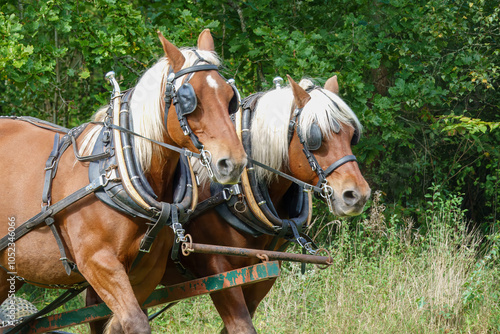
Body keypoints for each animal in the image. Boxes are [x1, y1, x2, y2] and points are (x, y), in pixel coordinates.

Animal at [0, 29, 246, 334]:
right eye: (190, 98)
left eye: (229, 96)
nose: (233, 162)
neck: (116, 170)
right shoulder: (98, 262)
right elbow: (135, 321)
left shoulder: (146, 270)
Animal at [88, 74, 372, 332]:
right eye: (314, 137)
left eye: (352, 135)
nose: (356, 195)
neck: (235, 191)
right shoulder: (219, 269)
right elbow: (241, 326)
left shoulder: (261, 275)